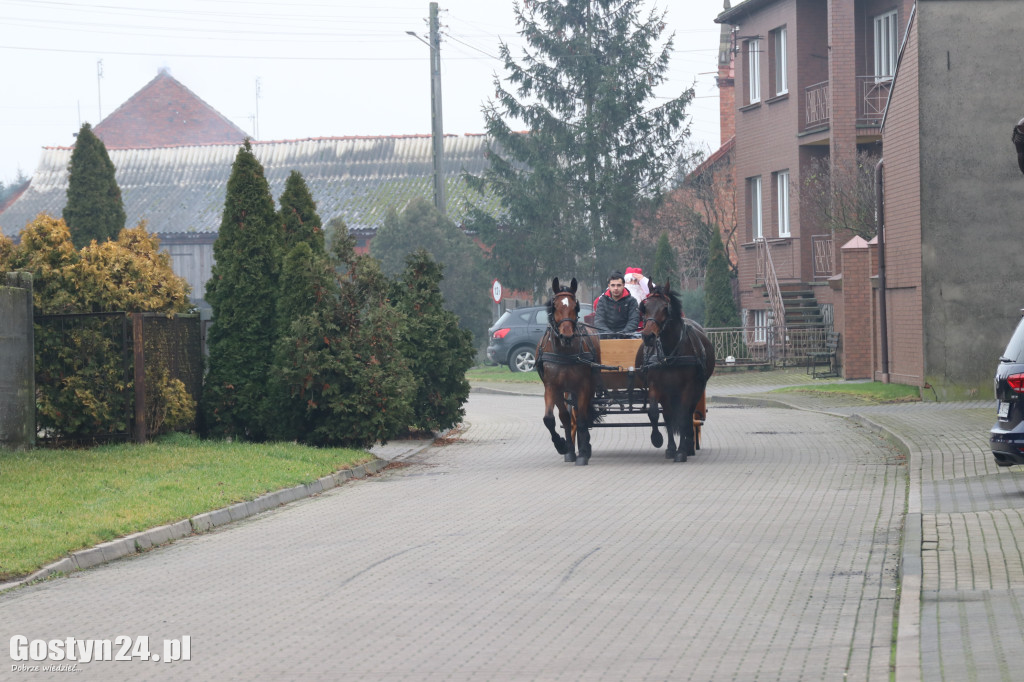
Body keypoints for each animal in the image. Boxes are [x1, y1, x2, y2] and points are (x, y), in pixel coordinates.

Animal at [536, 274, 598, 462]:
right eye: (554, 306)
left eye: (575, 306)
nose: (567, 336)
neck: (565, 352)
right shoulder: (552, 387)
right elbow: (553, 419)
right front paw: (564, 446)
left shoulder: (584, 385)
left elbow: (583, 419)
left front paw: (583, 452)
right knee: (570, 416)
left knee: (582, 414)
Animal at [634, 280, 716, 462]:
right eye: (645, 306)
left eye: (666, 308)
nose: (648, 336)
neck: (670, 354)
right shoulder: (656, 386)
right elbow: (656, 414)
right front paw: (659, 440)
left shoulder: (688, 387)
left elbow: (683, 416)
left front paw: (681, 451)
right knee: (669, 416)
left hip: (697, 389)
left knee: (688, 414)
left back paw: (689, 445)